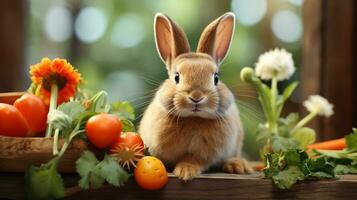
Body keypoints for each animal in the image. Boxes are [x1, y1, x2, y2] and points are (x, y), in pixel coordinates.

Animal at [138, 11, 252, 180]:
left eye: (216, 78)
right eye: (177, 77)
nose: (196, 97)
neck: (193, 119)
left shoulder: (204, 155)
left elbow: (193, 160)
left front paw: (185, 172)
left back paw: (238, 165)